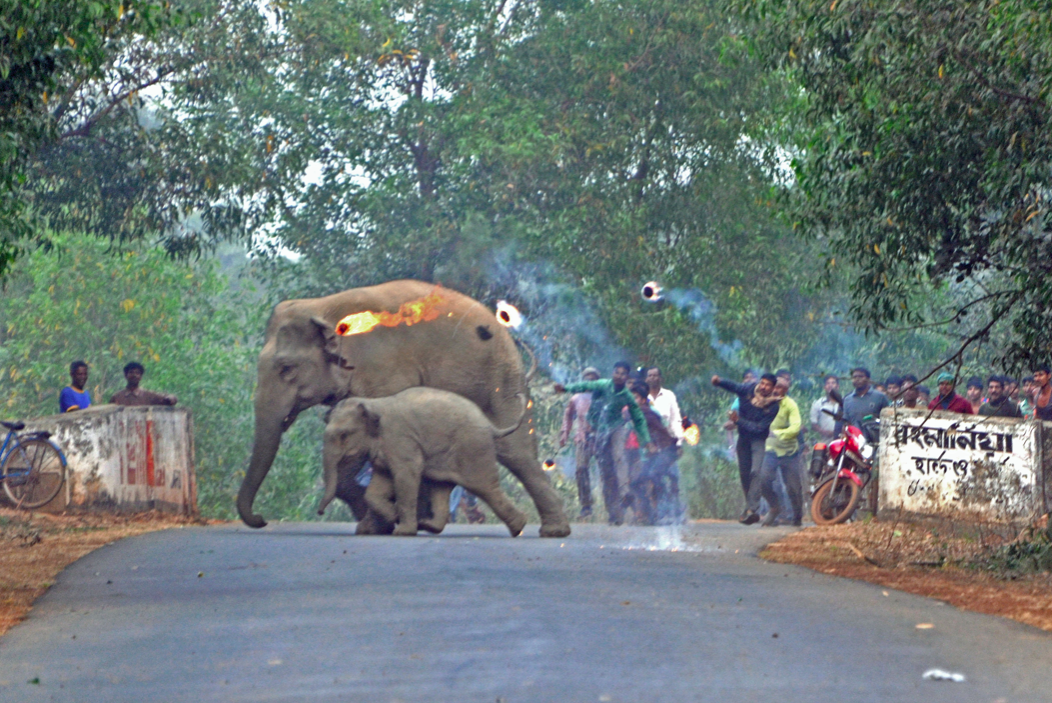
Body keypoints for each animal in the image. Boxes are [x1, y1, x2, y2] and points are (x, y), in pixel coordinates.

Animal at [311, 387, 526, 534]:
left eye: (344, 435)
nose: (319, 513)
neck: (374, 403)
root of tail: (490, 425)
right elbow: (378, 486)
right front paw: (394, 516)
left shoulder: (401, 441)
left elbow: (406, 476)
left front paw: (402, 530)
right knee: (442, 486)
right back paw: (429, 526)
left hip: (473, 448)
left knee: (485, 486)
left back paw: (518, 528)